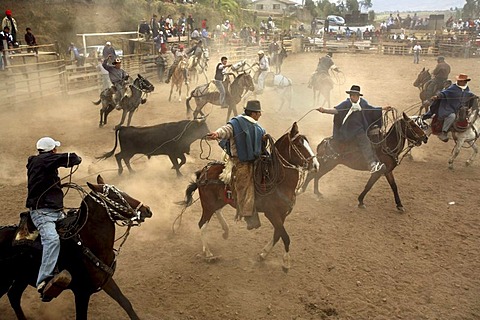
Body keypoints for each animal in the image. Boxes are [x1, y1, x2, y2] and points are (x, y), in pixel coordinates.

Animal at [0, 175, 152, 320]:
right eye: (114, 197)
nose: (147, 209)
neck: (88, 244)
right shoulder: (82, 292)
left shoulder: (106, 281)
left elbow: (125, 303)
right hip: (6, 279)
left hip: (21, 278)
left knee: (14, 296)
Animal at [178, 122, 320, 272]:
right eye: (299, 144)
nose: (316, 165)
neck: (278, 181)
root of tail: (203, 172)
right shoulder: (272, 213)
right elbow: (285, 237)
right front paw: (286, 263)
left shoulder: (282, 214)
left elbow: (278, 234)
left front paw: (263, 254)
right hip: (208, 203)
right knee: (202, 224)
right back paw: (209, 254)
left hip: (219, 200)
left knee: (217, 211)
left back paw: (225, 231)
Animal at [300, 111, 428, 211]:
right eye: (413, 125)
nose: (425, 137)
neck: (386, 146)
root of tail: (325, 141)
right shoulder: (377, 172)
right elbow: (368, 186)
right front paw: (361, 201)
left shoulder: (388, 172)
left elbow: (394, 186)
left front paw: (400, 205)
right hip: (328, 164)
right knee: (313, 175)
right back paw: (303, 190)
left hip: (328, 164)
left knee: (316, 176)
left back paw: (317, 193)